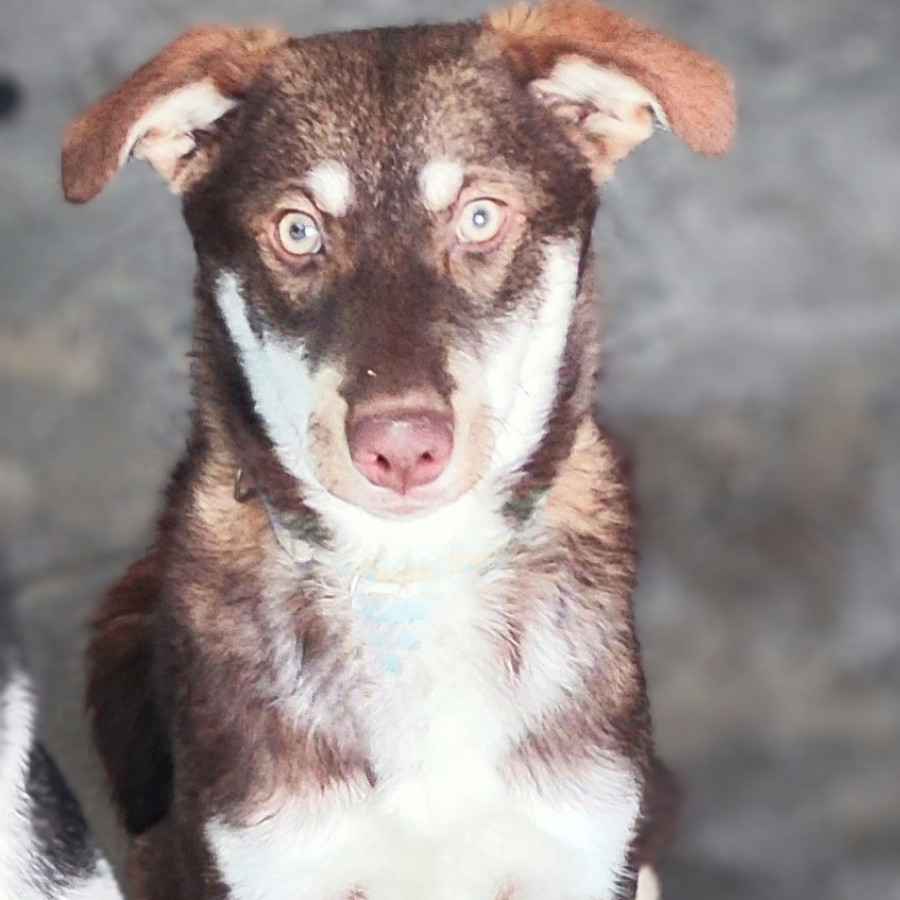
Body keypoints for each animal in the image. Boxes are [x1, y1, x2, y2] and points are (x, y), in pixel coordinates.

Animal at [61, 3, 732, 896]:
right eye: (297, 230)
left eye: (481, 217)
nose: (403, 447)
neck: (410, 578)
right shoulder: (263, 856)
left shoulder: (579, 844)